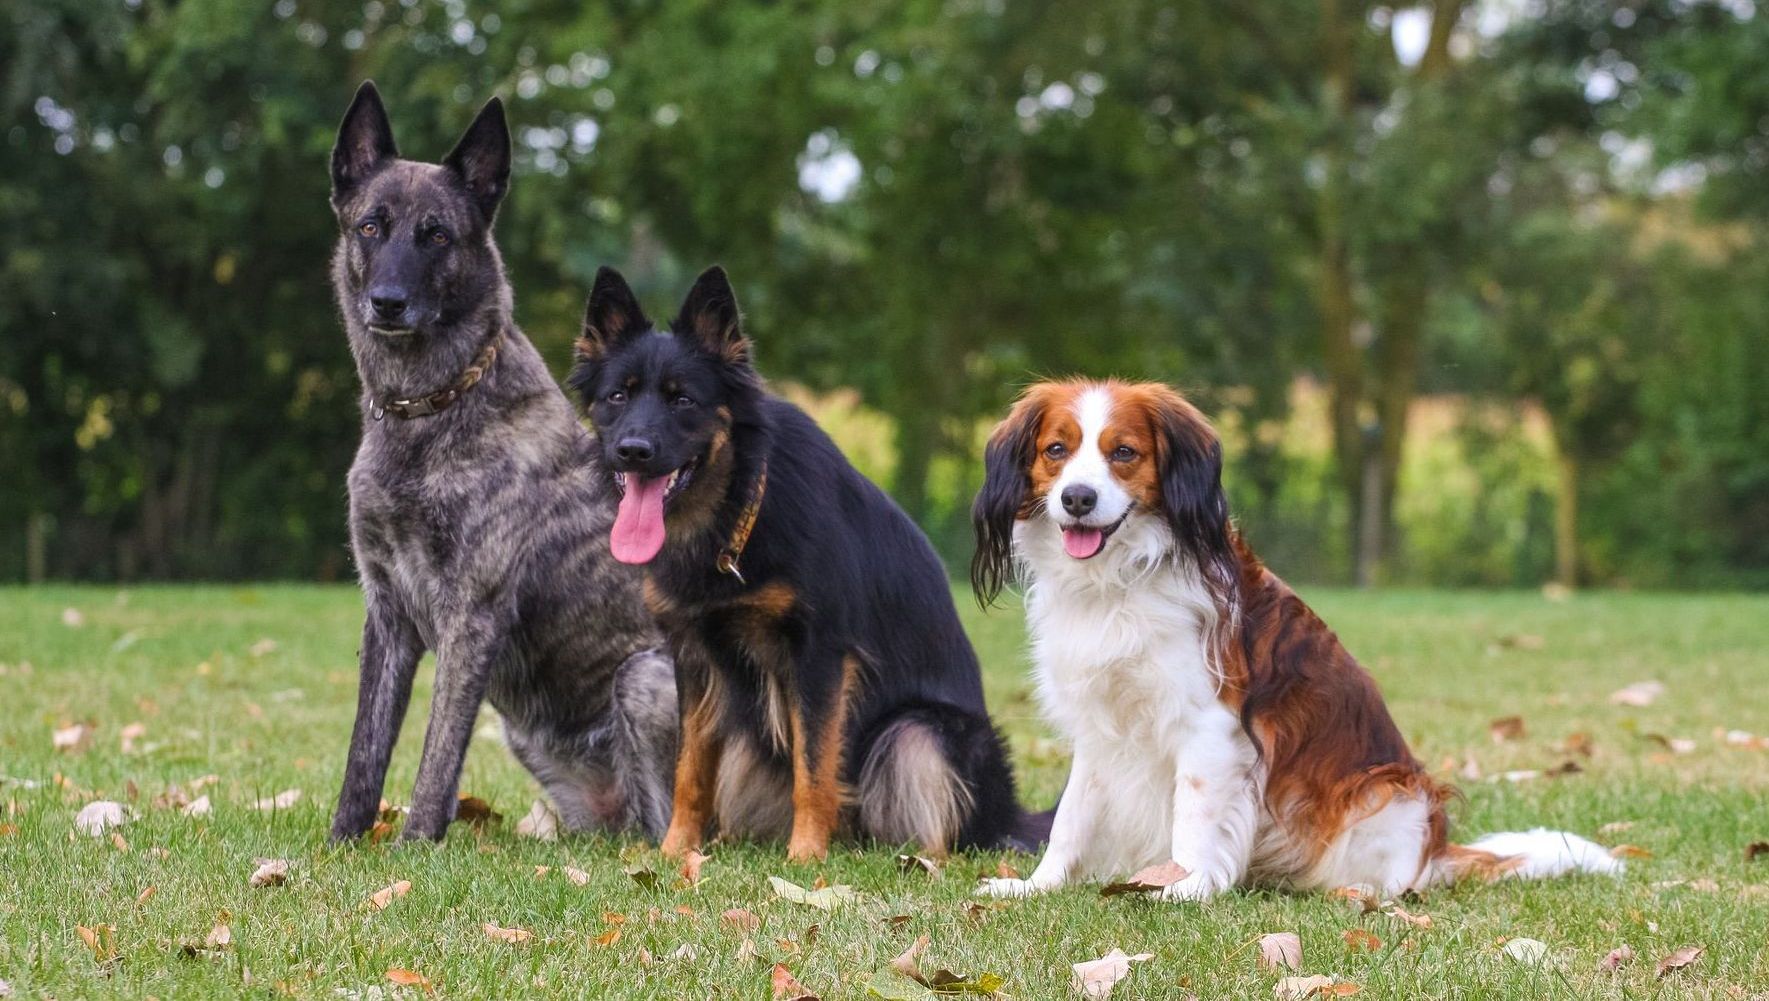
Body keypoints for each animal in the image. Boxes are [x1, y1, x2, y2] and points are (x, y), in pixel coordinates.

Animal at [329, 82, 672, 845]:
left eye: (437, 235)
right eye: (371, 226)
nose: (387, 304)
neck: (430, 407)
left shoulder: (470, 617)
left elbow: (436, 755)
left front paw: (414, 846)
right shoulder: (386, 614)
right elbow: (366, 746)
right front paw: (341, 844)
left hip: (644, 677)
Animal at [566, 267, 1040, 863]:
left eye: (683, 400)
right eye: (617, 396)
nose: (633, 450)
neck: (739, 510)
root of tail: (1012, 820)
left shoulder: (819, 657)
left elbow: (813, 769)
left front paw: (807, 857)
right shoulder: (694, 659)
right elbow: (689, 768)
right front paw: (676, 851)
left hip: (918, 731)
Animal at [969, 380, 1620, 905]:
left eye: (1123, 452)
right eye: (1056, 451)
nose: (1077, 498)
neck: (1119, 582)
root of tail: (1435, 853)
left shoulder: (1208, 729)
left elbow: (1192, 819)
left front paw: (1184, 889)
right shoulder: (1101, 729)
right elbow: (1071, 819)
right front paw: (1038, 887)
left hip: (1389, 796)